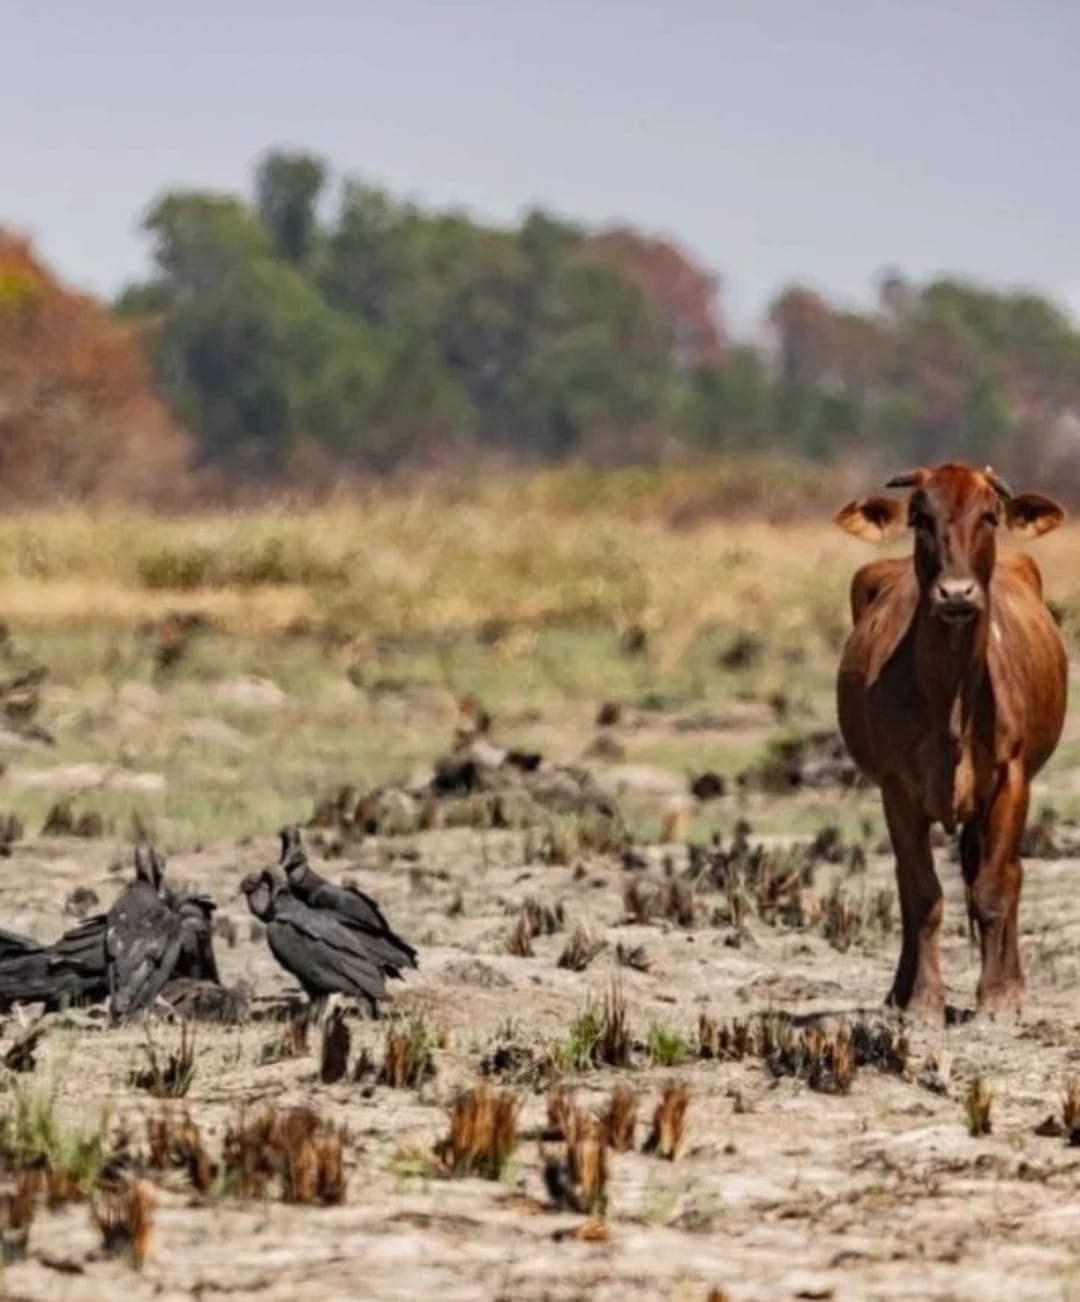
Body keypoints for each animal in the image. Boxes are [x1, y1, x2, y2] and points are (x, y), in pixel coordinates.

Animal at [828, 463, 1068, 1020]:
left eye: (989, 516)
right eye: (920, 517)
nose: (956, 595)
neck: (953, 698)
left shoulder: (1010, 780)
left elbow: (993, 889)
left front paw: (997, 995)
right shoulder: (896, 790)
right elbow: (922, 894)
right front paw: (921, 999)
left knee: (1009, 875)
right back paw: (898, 990)